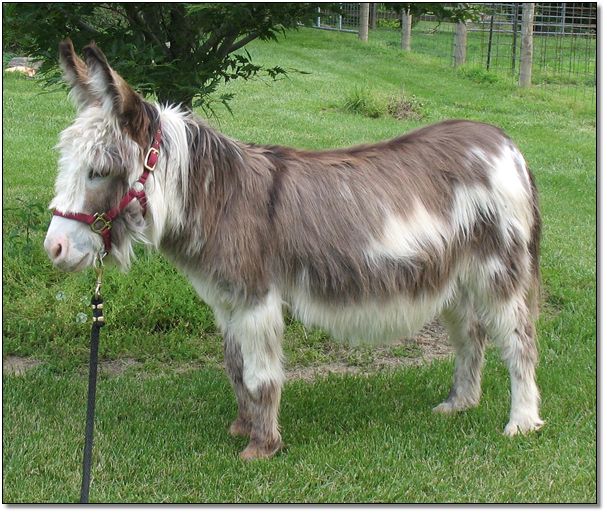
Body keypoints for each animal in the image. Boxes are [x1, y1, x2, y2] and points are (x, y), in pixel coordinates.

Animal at [44, 40, 544, 460]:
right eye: (65, 163)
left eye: (98, 170)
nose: (54, 248)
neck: (218, 197)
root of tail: (505, 142)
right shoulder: (226, 300)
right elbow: (235, 367)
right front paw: (243, 427)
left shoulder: (256, 299)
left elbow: (261, 375)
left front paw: (261, 449)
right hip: (454, 274)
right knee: (471, 335)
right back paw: (460, 404)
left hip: (499, 268)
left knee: (518, 339)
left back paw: (522, 422)